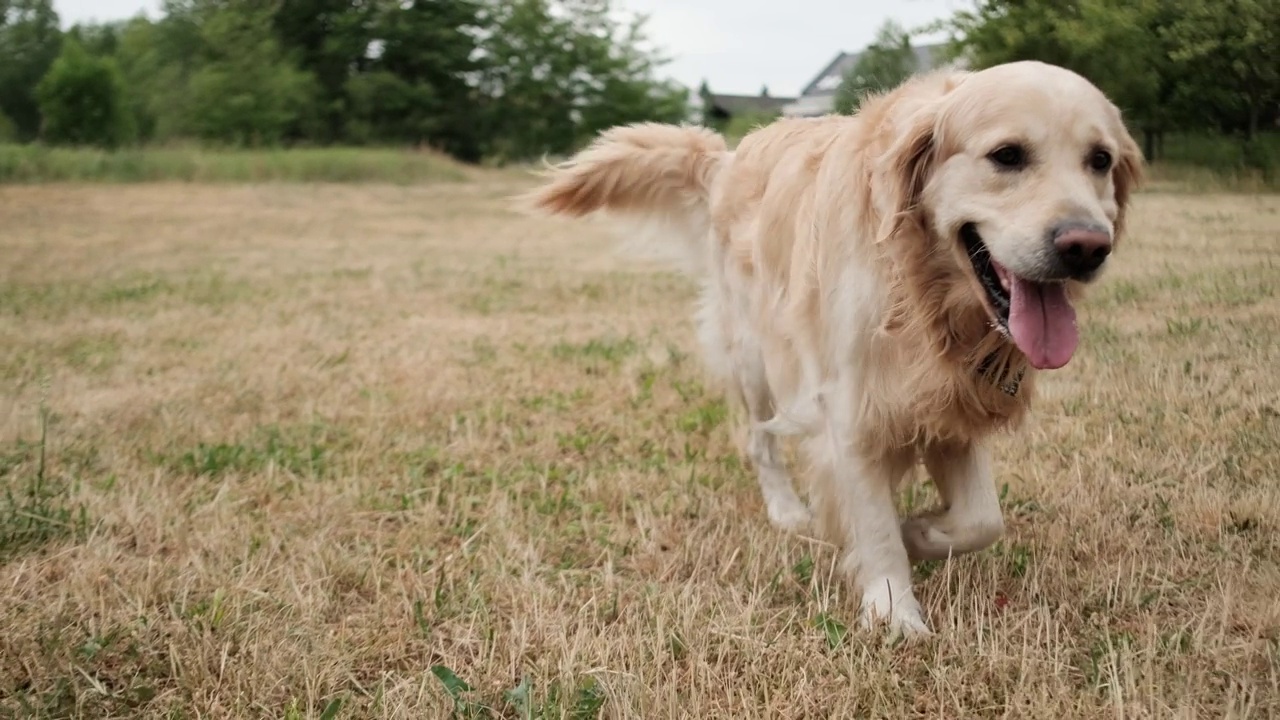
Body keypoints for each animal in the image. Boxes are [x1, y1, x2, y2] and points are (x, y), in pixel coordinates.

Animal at [519, 61, 1141, 632]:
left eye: (1100, 160)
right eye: (1007, 155)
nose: (1087, 246)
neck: (917, 291)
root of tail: (726, 159)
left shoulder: (948, 400)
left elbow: (982, 519)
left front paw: (920, 531)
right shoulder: (852, 409)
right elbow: (875, 523)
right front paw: (895, 612)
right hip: (756, 360)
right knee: (759, 442)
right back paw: (787, 511)